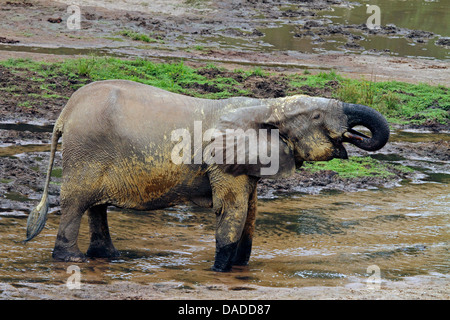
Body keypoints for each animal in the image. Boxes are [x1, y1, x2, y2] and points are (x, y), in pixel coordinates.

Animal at [25, 79, 390, 272]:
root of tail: (66, 111)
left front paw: (240, 270)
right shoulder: (222, 162)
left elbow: (250, 212)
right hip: (86, 150)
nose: (356, 136)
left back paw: (109, 257)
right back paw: (71, 259)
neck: (267, 105)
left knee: (95, 206)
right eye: (316, 117)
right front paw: (218, 272)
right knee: (76, 202)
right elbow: (232, 210)